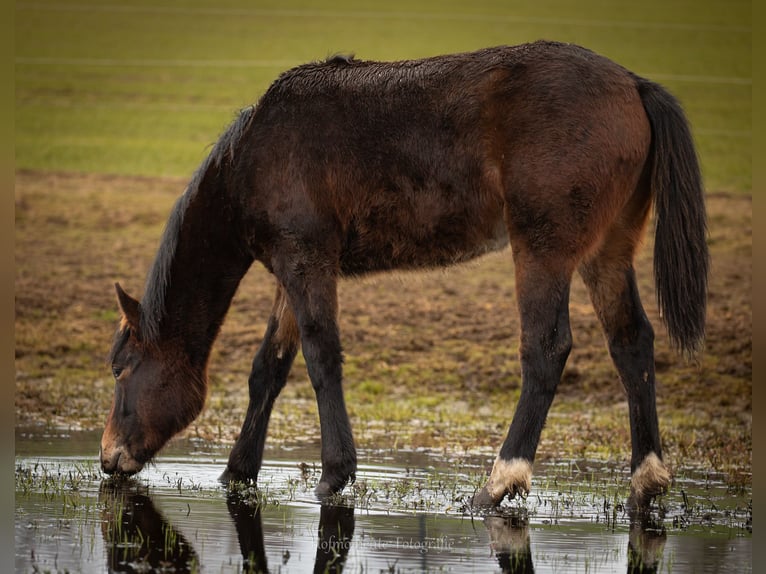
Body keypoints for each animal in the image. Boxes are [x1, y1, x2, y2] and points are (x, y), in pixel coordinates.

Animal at [100, 40, 708, 509]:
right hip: (607, 250)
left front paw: (334, 475)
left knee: (547, 349)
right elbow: (268, 369)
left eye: (122, 370)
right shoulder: (290, 273)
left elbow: (321, 358)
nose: (107, 458)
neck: (257, 153)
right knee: (631, 343)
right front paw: (236, 472)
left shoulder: (306, 262)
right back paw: (647, 480)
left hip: (543, 250)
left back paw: (498, 482)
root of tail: (632, 84)